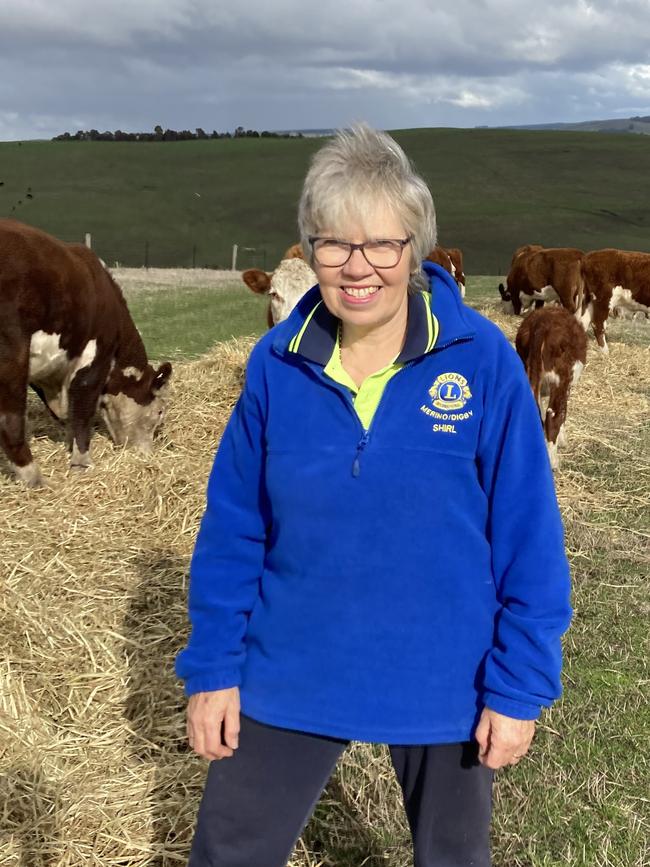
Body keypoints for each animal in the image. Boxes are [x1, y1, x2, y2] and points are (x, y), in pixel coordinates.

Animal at [0, 220, 171, 484]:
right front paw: (82, 462)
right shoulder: (93, 360)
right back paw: (34, 478)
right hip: (12, 351)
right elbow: (82, 411)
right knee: (10, 420)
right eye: (159, 411)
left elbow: (68, 414)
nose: (146, 455)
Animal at [512, 306, 584, 468]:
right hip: (560, 379)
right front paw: (563, 440)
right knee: (554, 415)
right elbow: (563, 412)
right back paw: (553, 461)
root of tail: (541, 325)